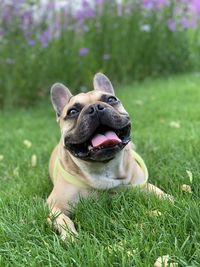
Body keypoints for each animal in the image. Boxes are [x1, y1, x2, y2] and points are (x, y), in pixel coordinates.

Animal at [47, 73, 170, 241]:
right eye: (72, 112)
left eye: (111, 99)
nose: (95, 107)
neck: (104, 166)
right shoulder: (55, 206)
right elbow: (63, 220)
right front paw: (72, 237)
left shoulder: (142, 185)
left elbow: (159, 193)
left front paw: (173, 200)